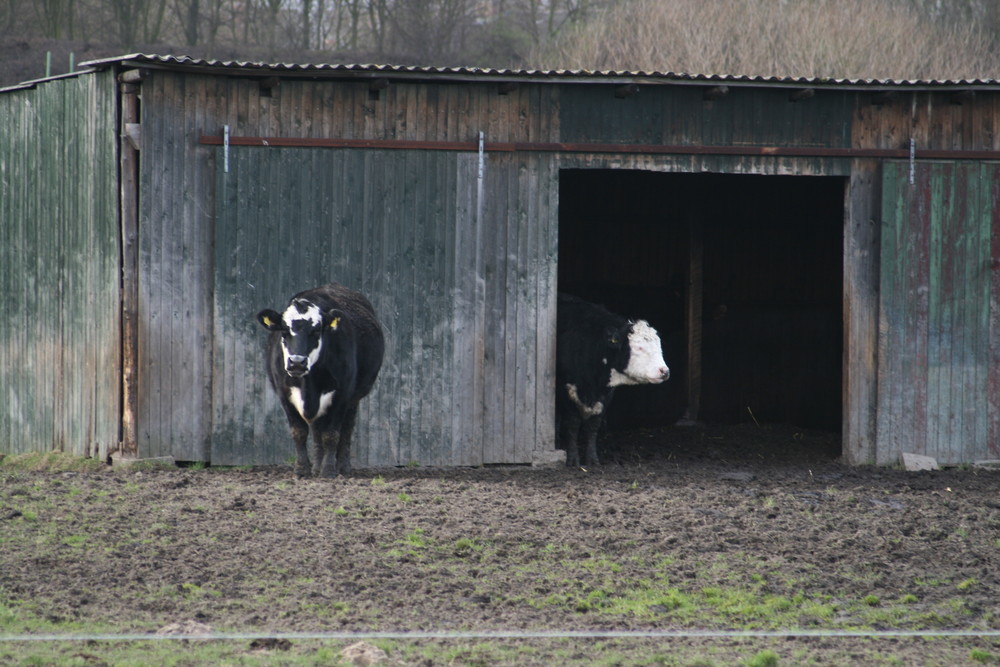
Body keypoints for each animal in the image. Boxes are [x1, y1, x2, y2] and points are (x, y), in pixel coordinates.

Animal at [256, 284, 384, 478]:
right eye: (285, 331)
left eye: (316, 331)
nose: (297, 362)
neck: (308, 383)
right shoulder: (283, 393)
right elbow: (299, 432)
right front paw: (302, 470)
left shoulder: (341, 395)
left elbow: (331, 434)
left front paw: (328, 470)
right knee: (317, 428)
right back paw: (316, 466)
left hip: (354, 398)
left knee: (346, 429)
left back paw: (342, 467)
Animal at [556, 294, 672, 468]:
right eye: (639, 348)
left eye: (659, 346)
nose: (664, 371)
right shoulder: (566, 390)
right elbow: (572, 424)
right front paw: (573, 459)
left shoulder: (606, 394)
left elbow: (594, 425)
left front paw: (592, 459)